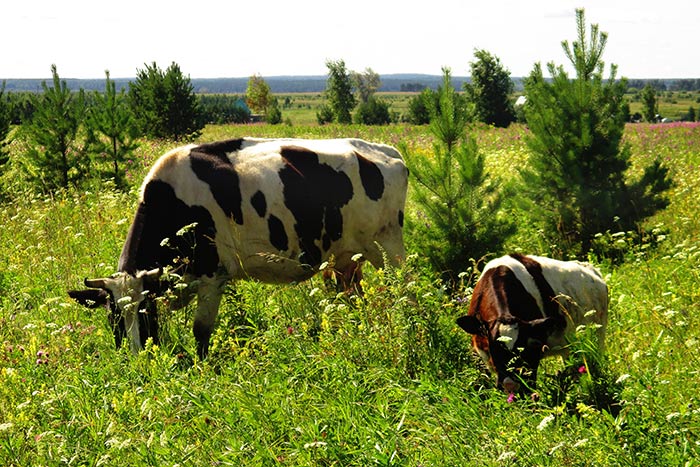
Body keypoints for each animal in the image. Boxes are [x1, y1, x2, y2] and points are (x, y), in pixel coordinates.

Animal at [68, 137, 408, 360]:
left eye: (146, 310)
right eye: (112, 317)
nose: (137, 357)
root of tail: (387, 151)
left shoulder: (213, 275)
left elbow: (201, 330)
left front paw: (203, 368)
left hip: (387, 246)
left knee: (407, 291)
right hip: (347, 257)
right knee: (353, 298)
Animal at [456, 254, 604, 394]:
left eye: (523, 347)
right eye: (494, 348)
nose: (510, 384)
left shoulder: (534, 351)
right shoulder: (478, 349)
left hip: (598, 335)